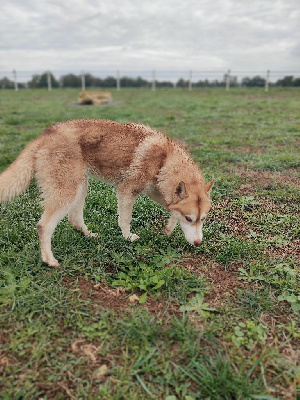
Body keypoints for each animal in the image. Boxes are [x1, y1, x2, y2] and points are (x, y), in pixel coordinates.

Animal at [0, 120, 216, 268]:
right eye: (189, 219)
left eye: (203, 219)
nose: (198, 243)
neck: (165, 160)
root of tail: (45, 134)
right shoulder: (127, 190)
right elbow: (125, 220)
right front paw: (127, 237)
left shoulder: (157, 192)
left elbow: (170, 208)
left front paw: (169, 227)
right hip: (67, 192)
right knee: (43, 226)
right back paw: (49, 260)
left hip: (80, 187)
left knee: (74, 220)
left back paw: (89, 235)